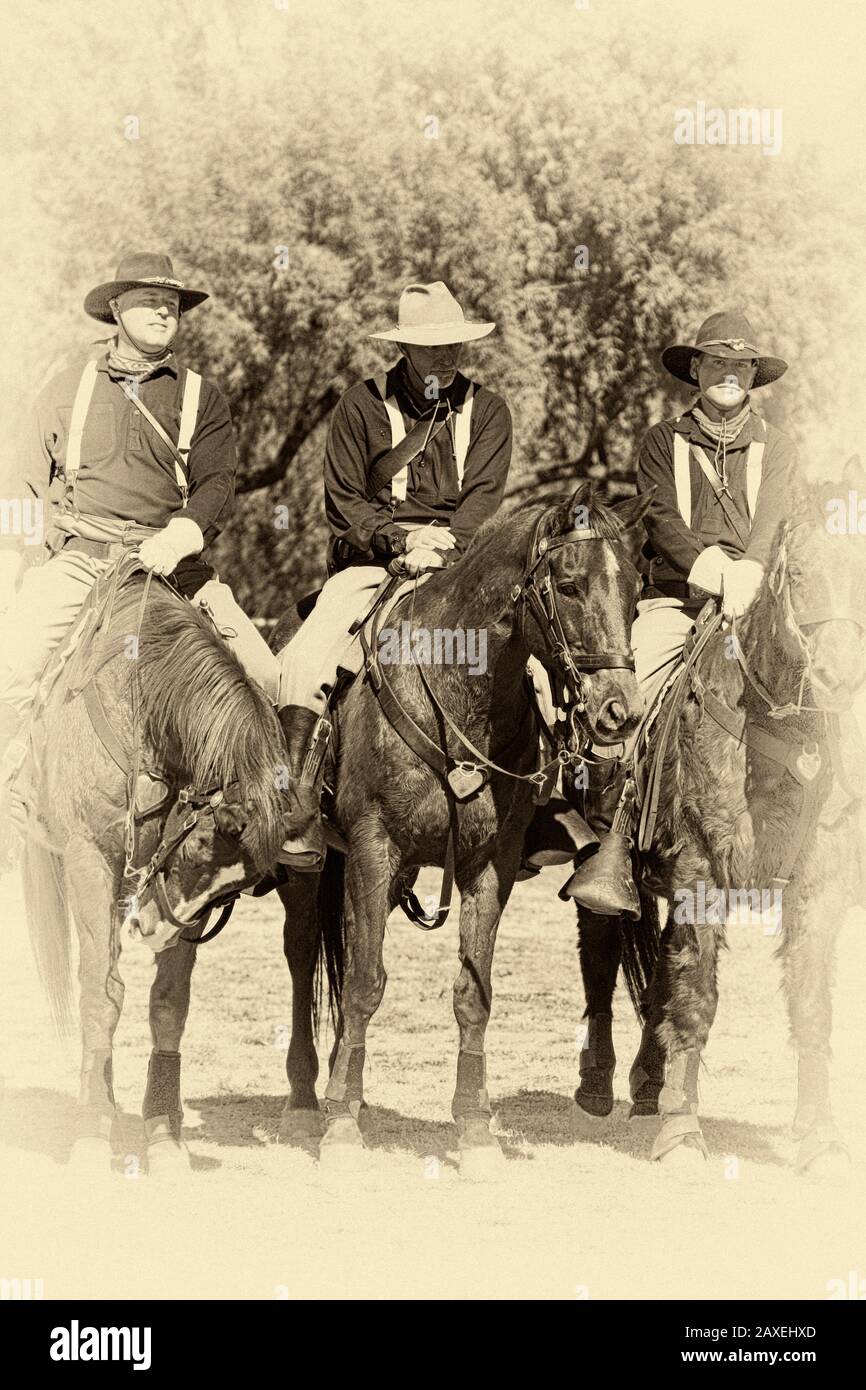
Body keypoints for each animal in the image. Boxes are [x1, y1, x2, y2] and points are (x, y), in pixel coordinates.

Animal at [20, 569, 297, 1178]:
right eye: (197, 846)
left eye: (235, 891)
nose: (151, 930)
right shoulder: (89, 861)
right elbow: (101, 994)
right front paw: (91, 1133)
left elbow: (168, 1003)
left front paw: (162, 1134)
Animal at [273, 483, 653, 1178]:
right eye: (569, 583)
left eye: (636, 590)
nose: (621, 712)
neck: (456, 692)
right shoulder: (372, 850)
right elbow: (364, 985)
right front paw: (340, 1129)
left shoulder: (487, 866)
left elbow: (472, 994)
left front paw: (474, 1131)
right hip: (310, 869)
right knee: (303, 955)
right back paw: (309, 1101)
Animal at [575, 458, 866, 1173]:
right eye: (799, 571)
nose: (840, 674)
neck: (780, 734)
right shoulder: (700, 873)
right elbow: (695, 1000)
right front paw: (683, 1134)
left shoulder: (818, 884)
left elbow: (812, 1005)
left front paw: (821, 1138)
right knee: (603, 952)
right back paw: (602, 1085)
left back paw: (648, 1087)